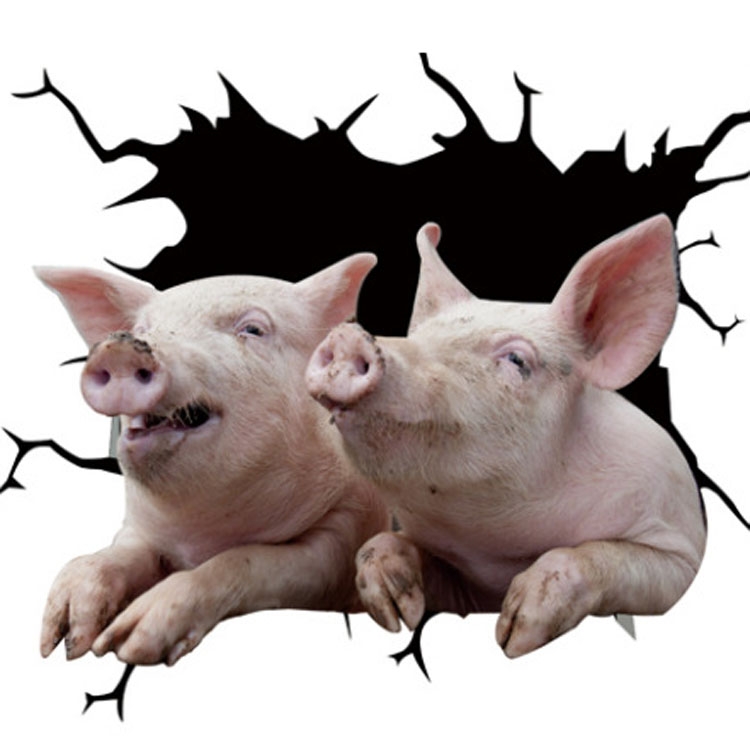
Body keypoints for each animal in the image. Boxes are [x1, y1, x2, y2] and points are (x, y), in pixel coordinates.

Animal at [35, 255, 388, 666]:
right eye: (141, 329)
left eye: (252, 329)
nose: (121, 347)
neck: (200, 533)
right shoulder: (137, 526)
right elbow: (118, 554)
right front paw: (63, 641)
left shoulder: (344, 533)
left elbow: (248, 562)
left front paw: (125, 644)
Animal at [306, 215, 707, 658]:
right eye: (421, 338)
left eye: (516, 359)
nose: (348, 337)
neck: (498, 552)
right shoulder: (465, 589)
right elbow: (377, 546)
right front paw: (397, 613)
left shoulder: (680, 551)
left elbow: (600, 557)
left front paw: (513, 635)